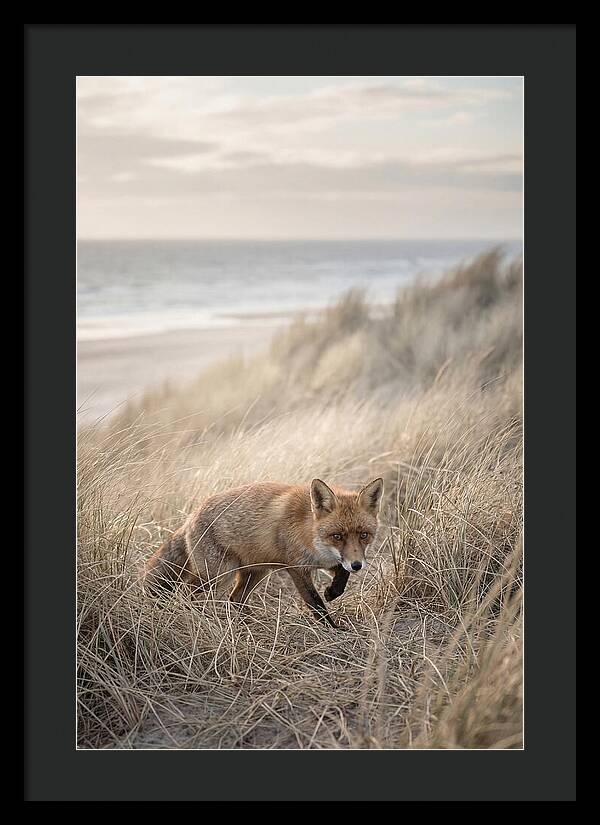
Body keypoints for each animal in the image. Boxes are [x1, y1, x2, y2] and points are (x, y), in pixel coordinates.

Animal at [143, 476, 384, 629]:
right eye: (337, 536)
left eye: (364, 535)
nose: (357, 566)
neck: (310, 532)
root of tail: (191, 516)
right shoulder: (296, 568)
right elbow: (315, 603)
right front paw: (333, 629)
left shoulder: (330, 561)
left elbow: (341, 576)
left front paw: (332, 592)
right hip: (218, 576)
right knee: (187, 593)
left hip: (255, 572)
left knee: (235, 598)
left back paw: (249, 623)